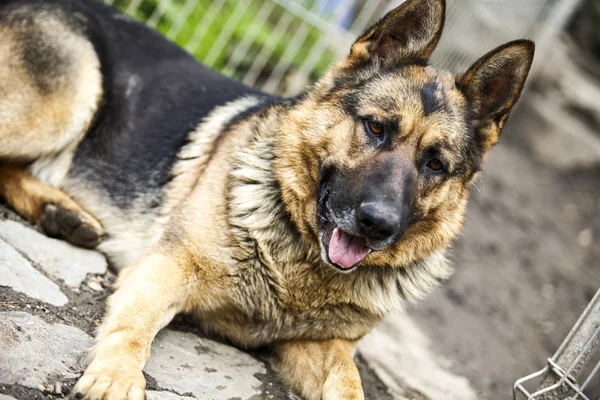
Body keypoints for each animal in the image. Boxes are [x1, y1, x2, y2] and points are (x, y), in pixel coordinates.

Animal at [0, 0, 536, 396]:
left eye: (435, 165)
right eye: (376, 128)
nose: (378, 224)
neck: (301, 265)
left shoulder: (325, 345)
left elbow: (349, 381)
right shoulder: (165, 267)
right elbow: (135, 327)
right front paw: (116, 376)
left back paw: (60, 213)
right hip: (68, 101)